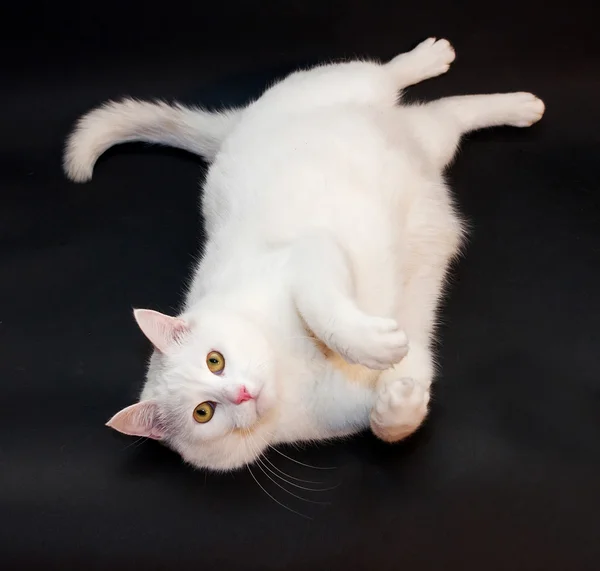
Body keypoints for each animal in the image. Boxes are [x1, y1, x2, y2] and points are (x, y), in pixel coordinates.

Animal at [64, 38, 544, 472]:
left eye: (214, 360)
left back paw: (440, 60)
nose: (241, 393)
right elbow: (392, 424)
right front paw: (398, 402)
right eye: (204, 412)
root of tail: (235, 127)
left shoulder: (311, 254)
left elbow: (323, 310)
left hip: (344, 82)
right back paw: (520, 106)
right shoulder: (348, 411)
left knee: (390, 73)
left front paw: (373, 346)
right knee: (451, 111)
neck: (290, 372)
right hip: (433, 138)